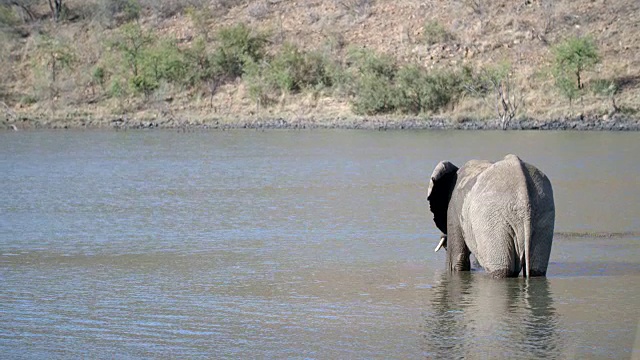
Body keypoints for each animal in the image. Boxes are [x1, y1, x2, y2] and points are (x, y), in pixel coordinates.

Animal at [424, 153, 556, 278]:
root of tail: (523, 196)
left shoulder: (454, 208)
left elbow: (456, 262)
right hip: (543, 215)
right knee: (535, 271)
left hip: (493, 222)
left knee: (502, 271)